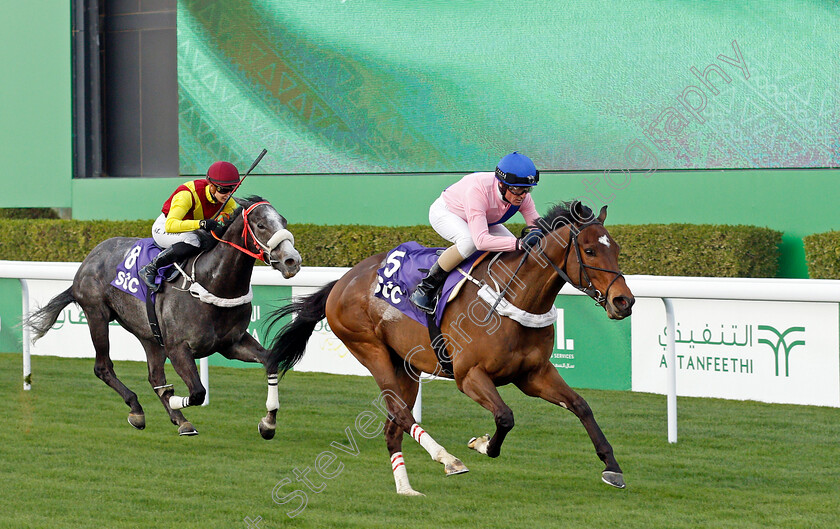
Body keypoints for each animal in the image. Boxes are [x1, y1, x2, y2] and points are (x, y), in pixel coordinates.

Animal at [24, 196, 302, 436]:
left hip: (149, 334)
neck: (211, 282)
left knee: (155, 376)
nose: (292, 261)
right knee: (103, 367)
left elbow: (270, 361)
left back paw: (177, 419)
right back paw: (138, 409)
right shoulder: (178, 348)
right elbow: (198, 392)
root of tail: (89, 259)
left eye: (284, 221)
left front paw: (268, 423)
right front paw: (177, 401)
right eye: (261, 225)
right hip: (97, 315)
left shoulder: (231, 343)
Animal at [266, 200, 632, 492]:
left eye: (615, 249)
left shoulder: (534, 374)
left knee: (392, 427)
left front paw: (612, 467)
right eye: (589, 250)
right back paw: (448, 459)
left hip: (405, 365)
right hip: (369, 348)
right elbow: (505, 416)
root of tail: (344, 280)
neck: (513, 298)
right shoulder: (469, 375)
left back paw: (406, 489)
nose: (623, 301)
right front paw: (482, 445)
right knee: (400, 413)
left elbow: (581, 406)